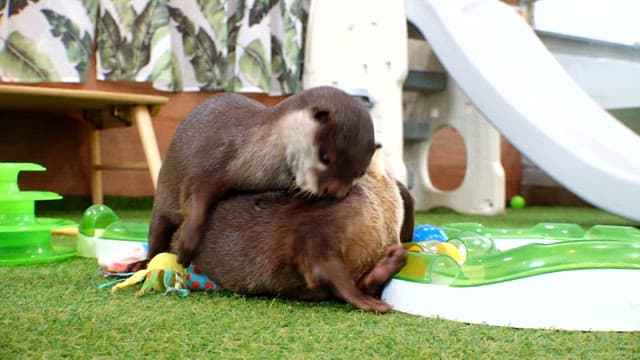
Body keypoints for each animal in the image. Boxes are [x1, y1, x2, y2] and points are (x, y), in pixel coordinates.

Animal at [142, 86, 378, 268]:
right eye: (325, 157)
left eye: (360, 172)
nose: (334, 192)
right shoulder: (214, 158)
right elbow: (196, 198)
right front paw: (187, 242)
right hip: (162, 199)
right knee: (157, 230)